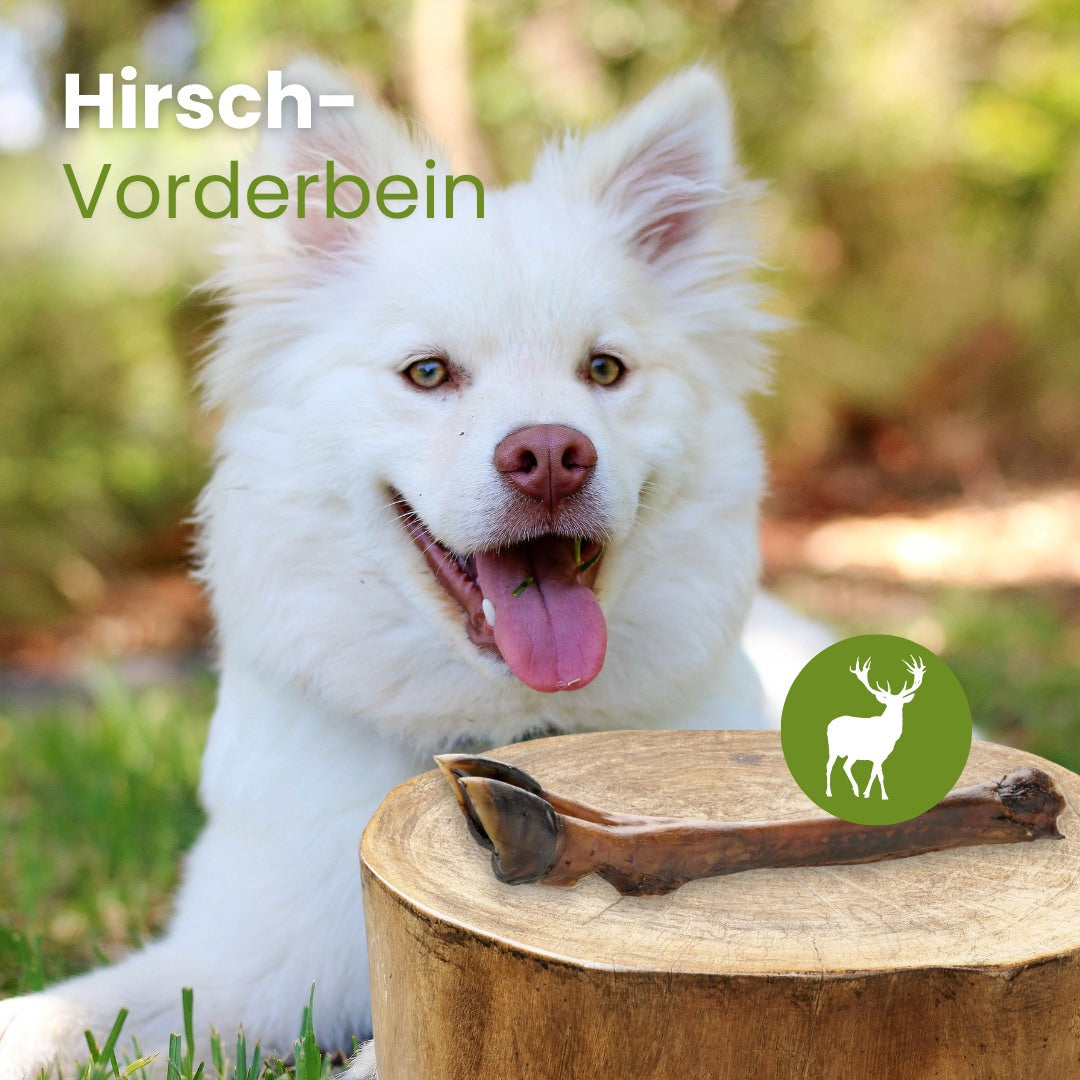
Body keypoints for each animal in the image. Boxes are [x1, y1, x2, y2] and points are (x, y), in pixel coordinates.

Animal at [825, 655, 926, 800]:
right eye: (888, 703)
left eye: (901, 703)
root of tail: (830, 723)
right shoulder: (877, 755)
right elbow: (877, 774)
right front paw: (870, 794)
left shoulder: (881, 756)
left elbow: (878, 774)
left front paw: (879, 795)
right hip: (834, 748)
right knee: (830, 766)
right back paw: (830, 792)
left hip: (852, 754)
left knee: (845, 766)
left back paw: (855, 791)